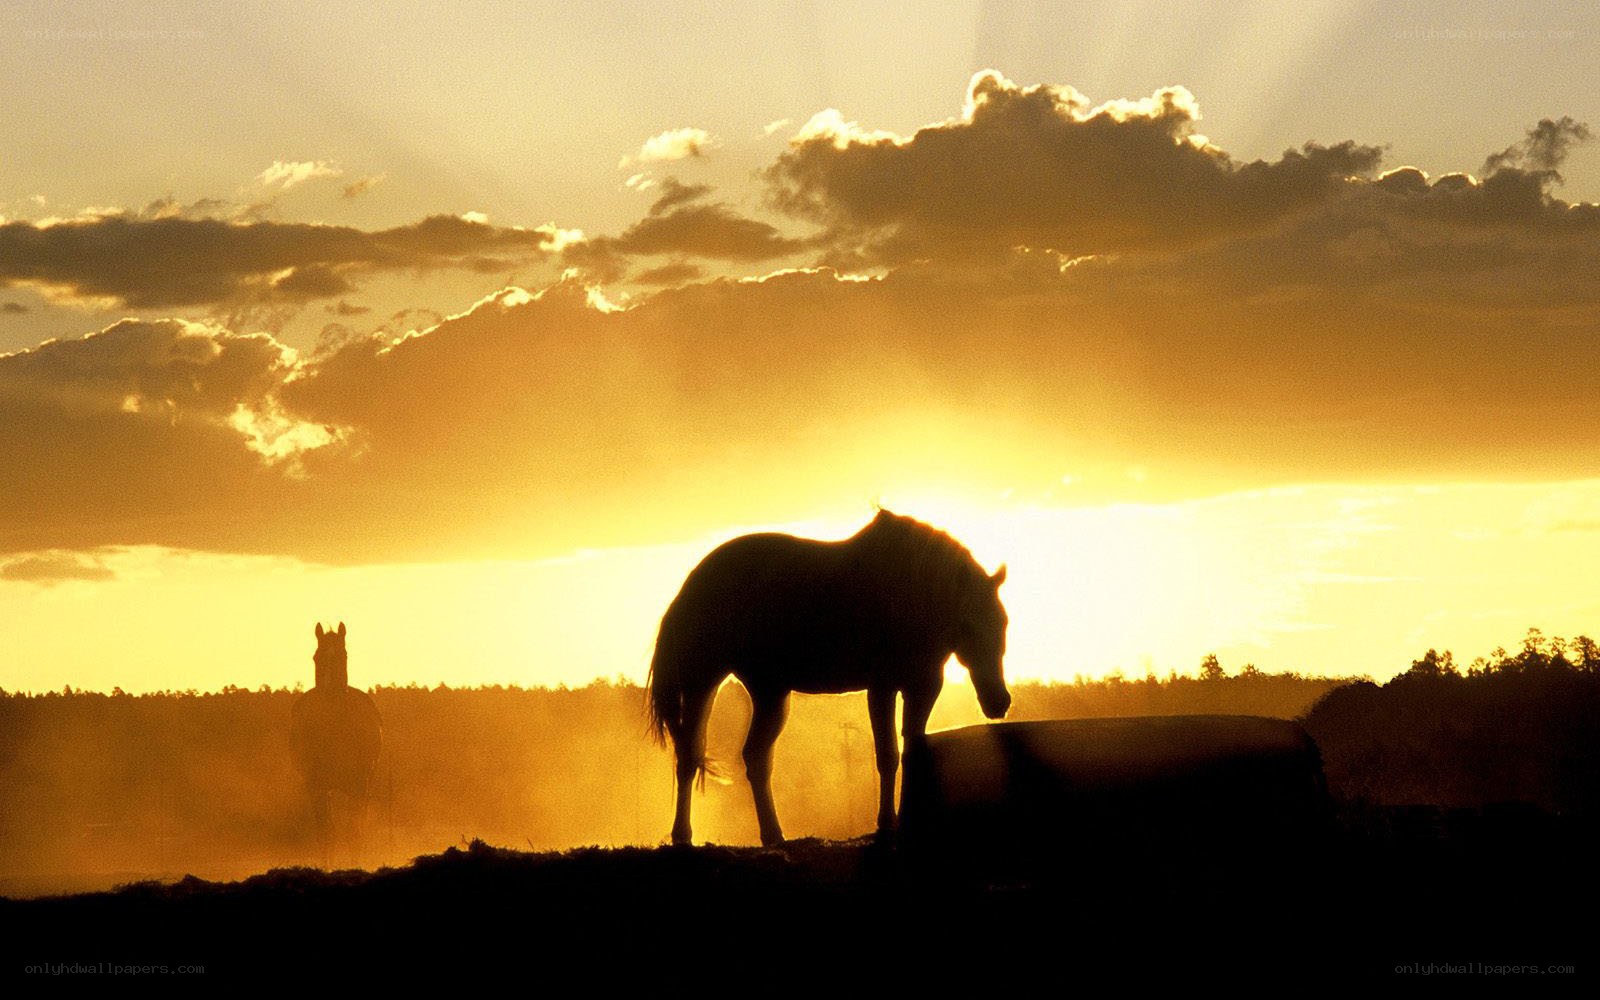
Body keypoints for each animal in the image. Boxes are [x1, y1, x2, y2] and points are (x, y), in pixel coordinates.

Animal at [289, 622, 383, 862]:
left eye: (343, 655)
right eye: (316, 657)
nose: (330, 693)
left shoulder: (358, 785)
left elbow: (354, 834)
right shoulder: (317, 787)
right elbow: (326, 835)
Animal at [648, 508, 1011, 846]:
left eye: (1003, 622)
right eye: (968, 625)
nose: (999, 702)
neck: (910, 593)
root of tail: (690, 587)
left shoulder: (923, 686)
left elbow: (913, 749)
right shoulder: (882, 688)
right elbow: (888, 756)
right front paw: (885, 824)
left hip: (770, 691)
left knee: (755, 757)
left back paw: (773, 836)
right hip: (702, 682)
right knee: (689, 755)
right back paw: (683, 835)